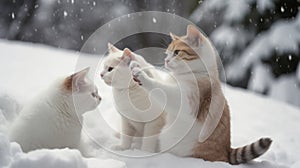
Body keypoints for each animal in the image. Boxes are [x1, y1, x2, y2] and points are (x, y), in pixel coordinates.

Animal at [130, 25, 274, 164]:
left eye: (177, 52)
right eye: (167, 53)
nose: (166, 60)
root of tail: (226, 152)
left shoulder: (186, 102)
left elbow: (161, 89)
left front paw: (142, 76)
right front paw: (136, 65)